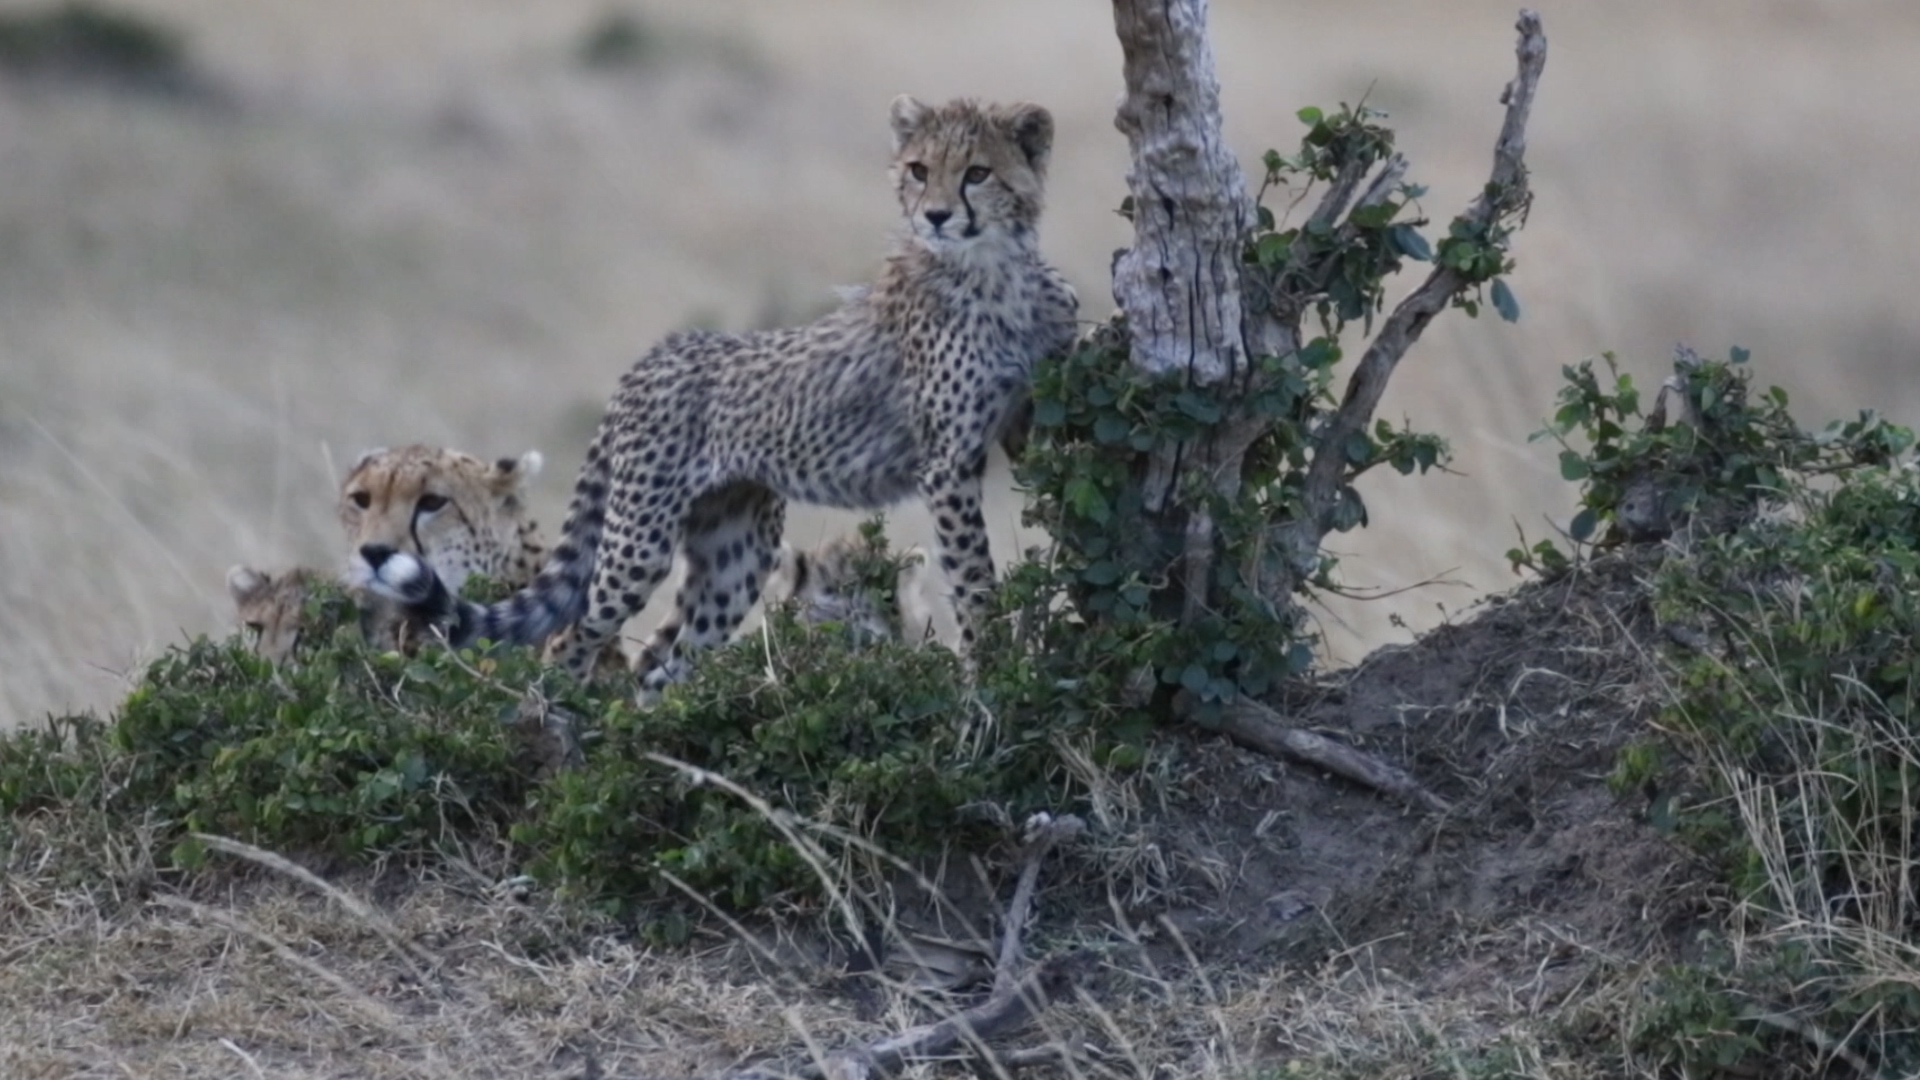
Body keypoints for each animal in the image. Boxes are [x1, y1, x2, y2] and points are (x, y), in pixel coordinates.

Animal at [360, 96, 1082, 691]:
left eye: (977, 173)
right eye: (918, 168)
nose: (934, 214)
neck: (996, 269)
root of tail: (654, 353)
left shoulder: (1021, 425)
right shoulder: (946, 464)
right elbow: (973, 577)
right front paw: (988, 681)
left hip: (736, 553)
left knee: (662, 664)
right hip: (639, 536)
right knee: (574, 636)